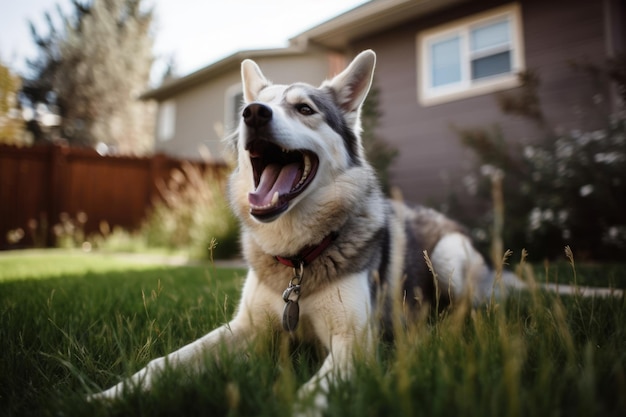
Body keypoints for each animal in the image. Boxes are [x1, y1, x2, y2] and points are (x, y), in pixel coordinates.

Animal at [89, 48, 516, 412]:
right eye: (247, 109)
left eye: (304, 108)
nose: (253, 113)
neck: (298, 254)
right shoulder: (244, 328)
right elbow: (165, 362)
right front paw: (108, 396)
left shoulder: (353, 342)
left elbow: (312, 396)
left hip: (448, 262)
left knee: (474, 310)